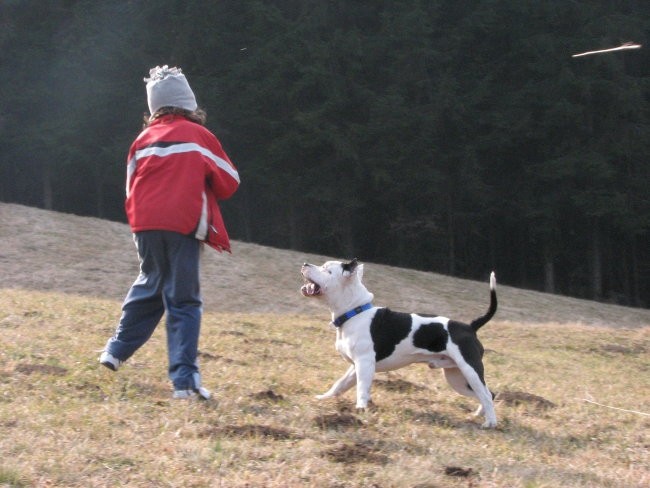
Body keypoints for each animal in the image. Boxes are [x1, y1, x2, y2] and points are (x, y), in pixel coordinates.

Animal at [298, 260, 496, 428]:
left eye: (327, 269)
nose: (305, 264)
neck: (354, 312)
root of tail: (470, 326)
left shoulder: (364, 364)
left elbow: (362, 389)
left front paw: (360, 410)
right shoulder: (356, 366)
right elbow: (340, 384)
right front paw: (324, 398)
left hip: (469, 369)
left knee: (486, 394)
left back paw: (490, 423)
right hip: (456, 378)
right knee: (487, 394)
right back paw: (478, 415)